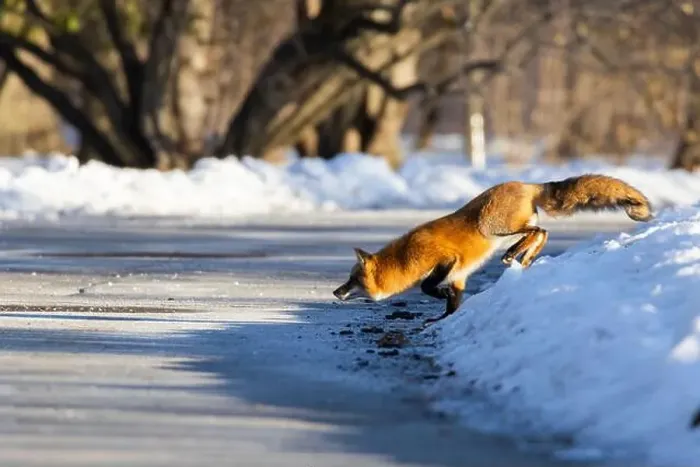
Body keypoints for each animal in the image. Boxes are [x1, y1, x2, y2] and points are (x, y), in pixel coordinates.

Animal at [332, 174, 652, 324]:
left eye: (352, 279)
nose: (335, 292)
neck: (405, 258)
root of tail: (526, 184)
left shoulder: (447, 260)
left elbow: (427, 287)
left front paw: (437, 299)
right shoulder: (459, 277)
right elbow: (452, 305)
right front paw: (442, 320)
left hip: (492, 227)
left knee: (539, 231)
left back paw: (516, 255)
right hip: (508, 227)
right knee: (541, 233)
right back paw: (525, 258)